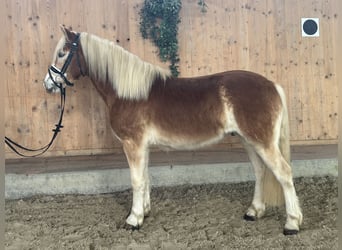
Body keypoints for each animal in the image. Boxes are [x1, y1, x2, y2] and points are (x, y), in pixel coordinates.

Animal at [42, 25, 302, 234]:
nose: (48, 84)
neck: (128, 92)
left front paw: (133, 219)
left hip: (262, 142)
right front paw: (145, 211)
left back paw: (292, 223)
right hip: (248, 140)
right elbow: (145, 177)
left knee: (283, 173)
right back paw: (254, 211)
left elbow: (136, 180)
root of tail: (272, 85)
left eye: (62, 53)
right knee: (260, 171)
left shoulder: (133, 144)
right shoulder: (142, 146)